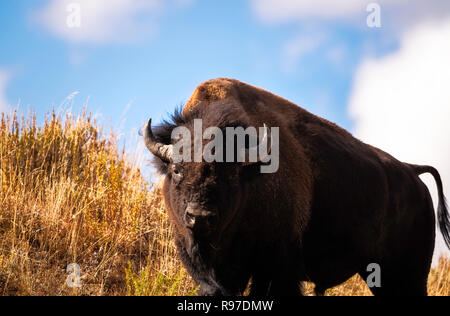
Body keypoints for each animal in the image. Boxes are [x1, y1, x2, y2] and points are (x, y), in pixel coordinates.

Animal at [142, 78, 448, 296]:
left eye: (231, 174)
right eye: (176, 170)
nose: (200, 217)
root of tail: (412, 171)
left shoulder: (276, 266)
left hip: (409, 275)